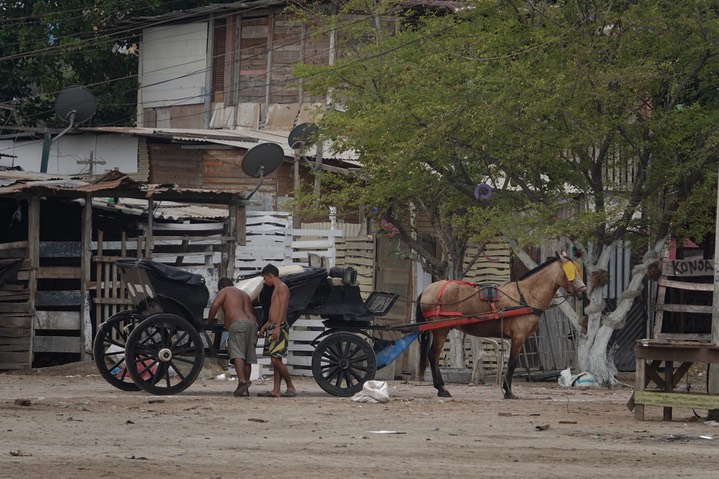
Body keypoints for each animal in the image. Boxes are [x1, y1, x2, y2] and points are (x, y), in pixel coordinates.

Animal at [420, 251, 588, 402]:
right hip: (440, 330)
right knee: (433, 356)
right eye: (570, 272)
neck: (525, 296)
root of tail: (427, 289)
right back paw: (441, 388)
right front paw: (508, 391)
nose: (583, 292)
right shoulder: (518, 336)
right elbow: (512, 363)